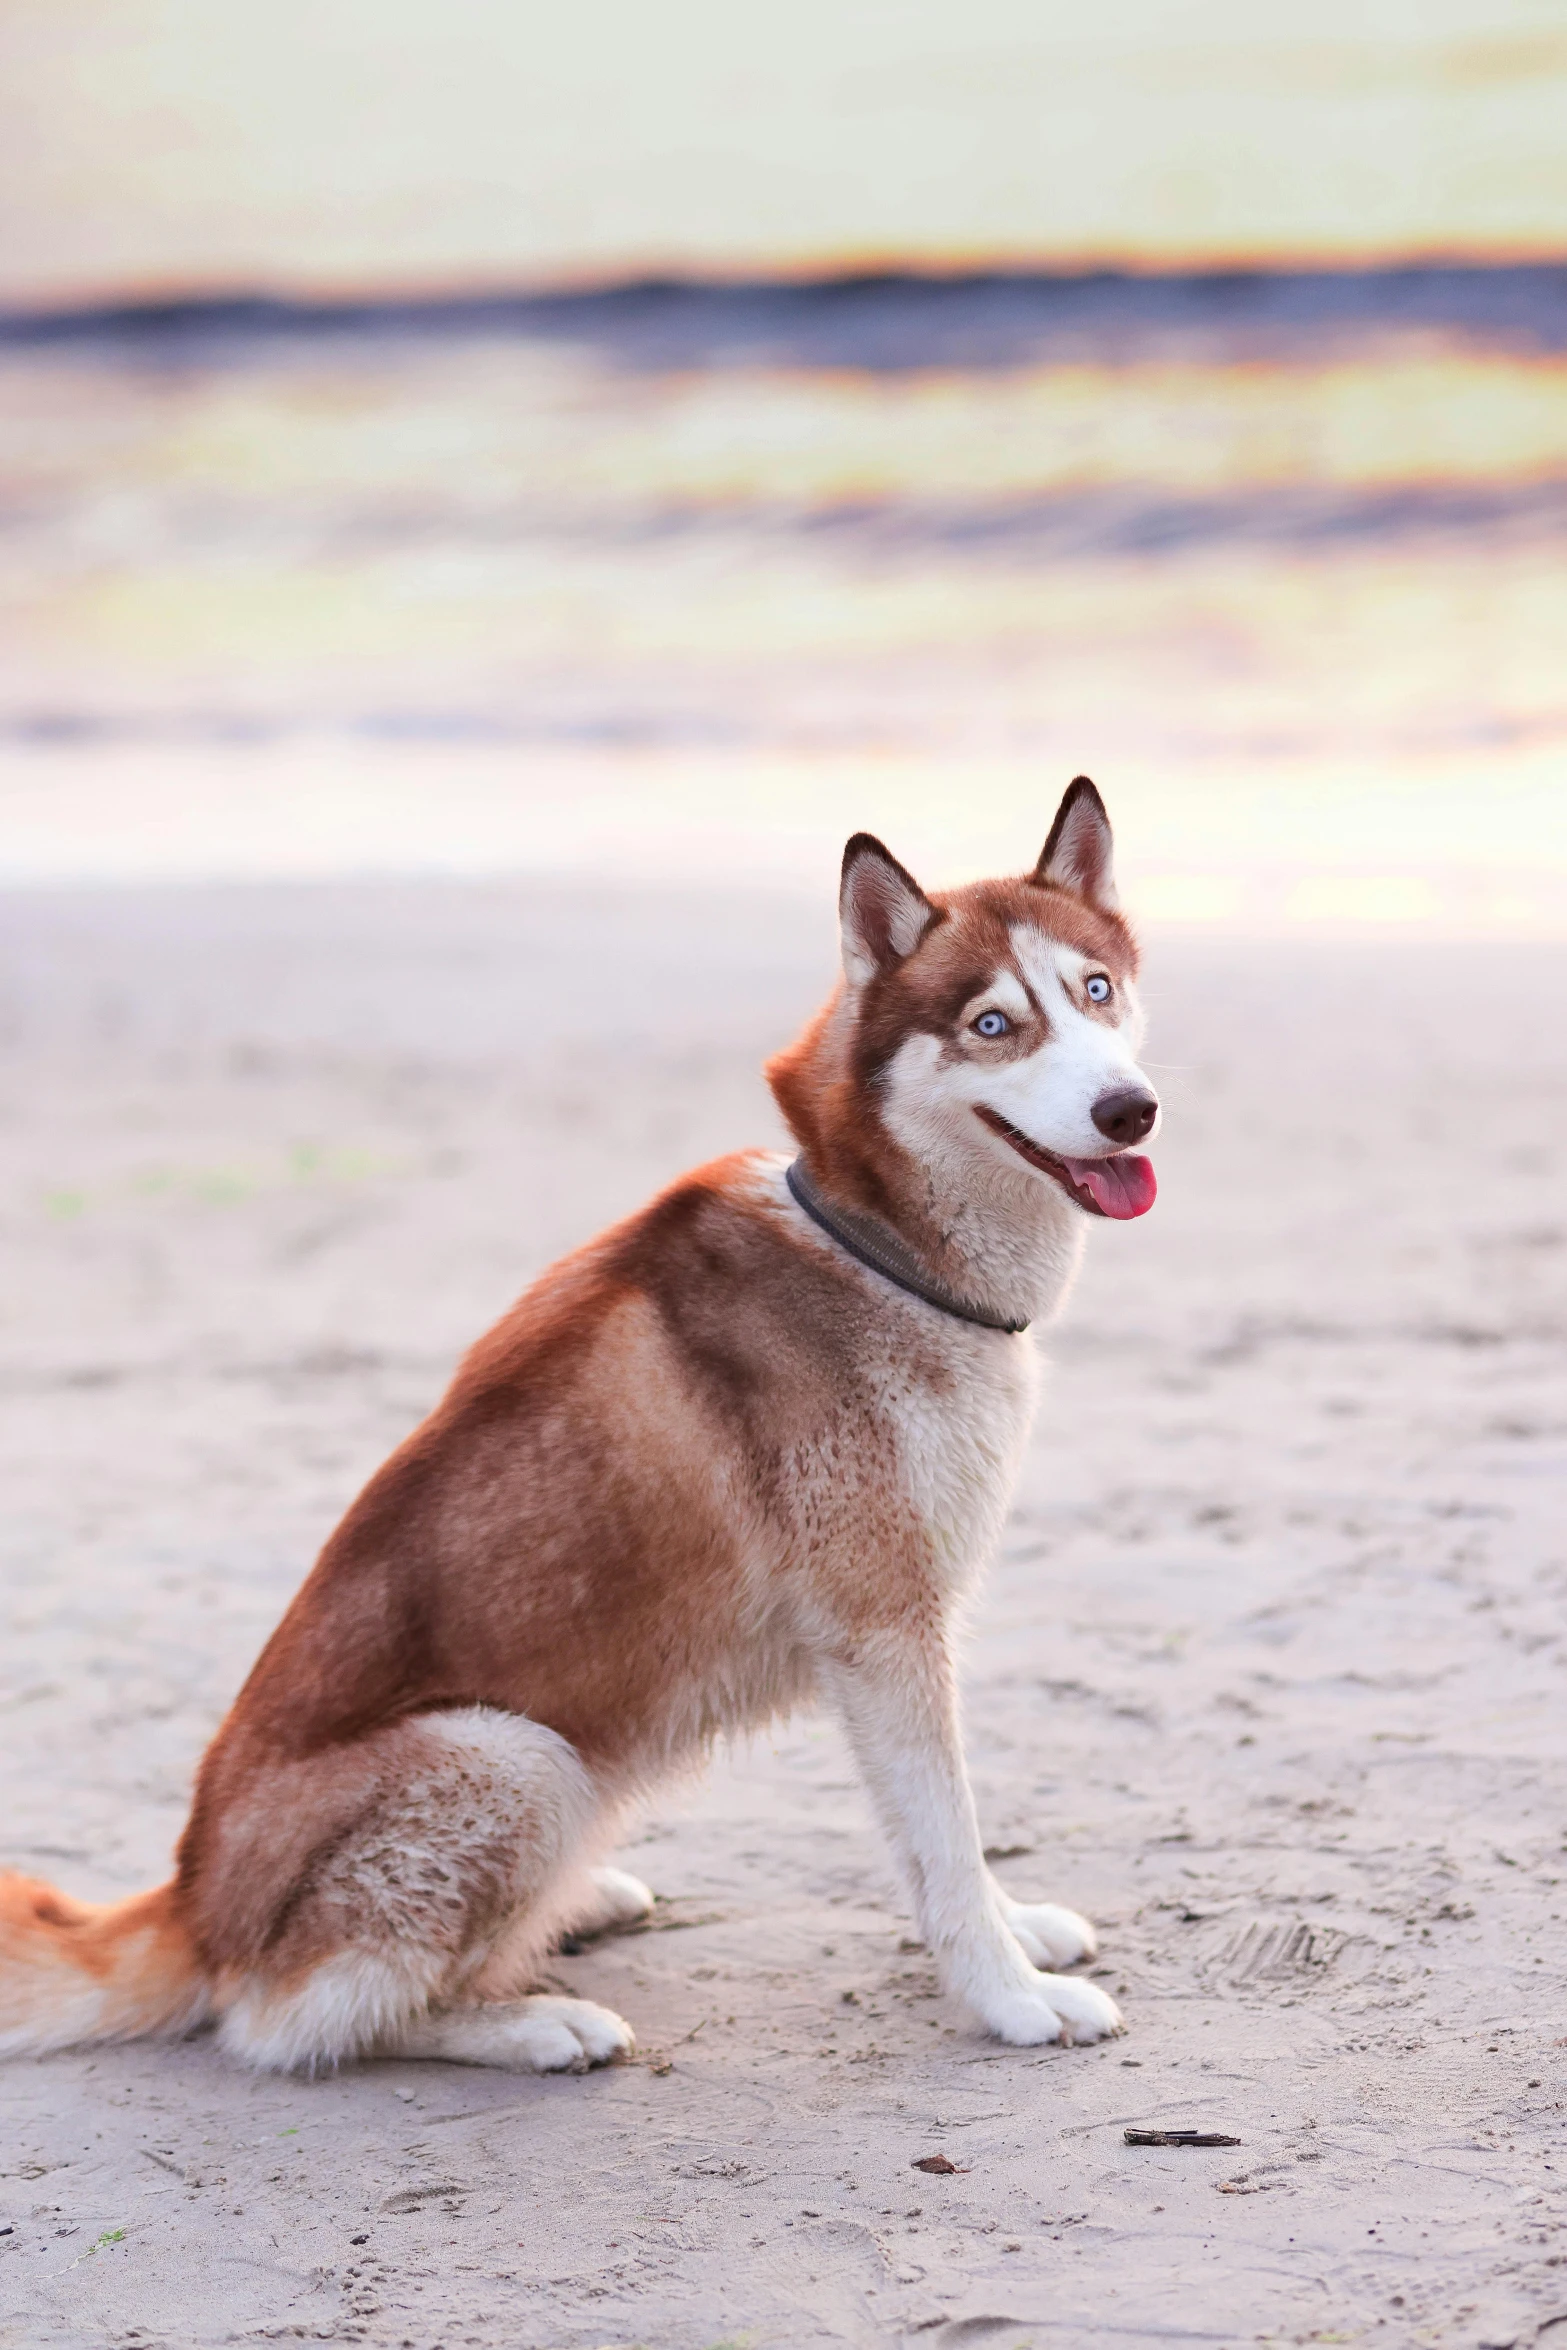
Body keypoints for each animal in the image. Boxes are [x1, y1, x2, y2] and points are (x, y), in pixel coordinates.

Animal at [0, 775, 1160, 2077]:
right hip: (513, 1756)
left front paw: (1017, 1934)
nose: (1128, 1109)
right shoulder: (882, 1631)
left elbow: (939, 1839)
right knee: (287, 2021)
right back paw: (530, 2020)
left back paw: (576, 1905)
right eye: (993, 1024)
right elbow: (946, 1840)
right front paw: (1006, 1994)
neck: (879, 1245)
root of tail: (190, 1903)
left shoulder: (904, 1634)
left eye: (1095, 992)